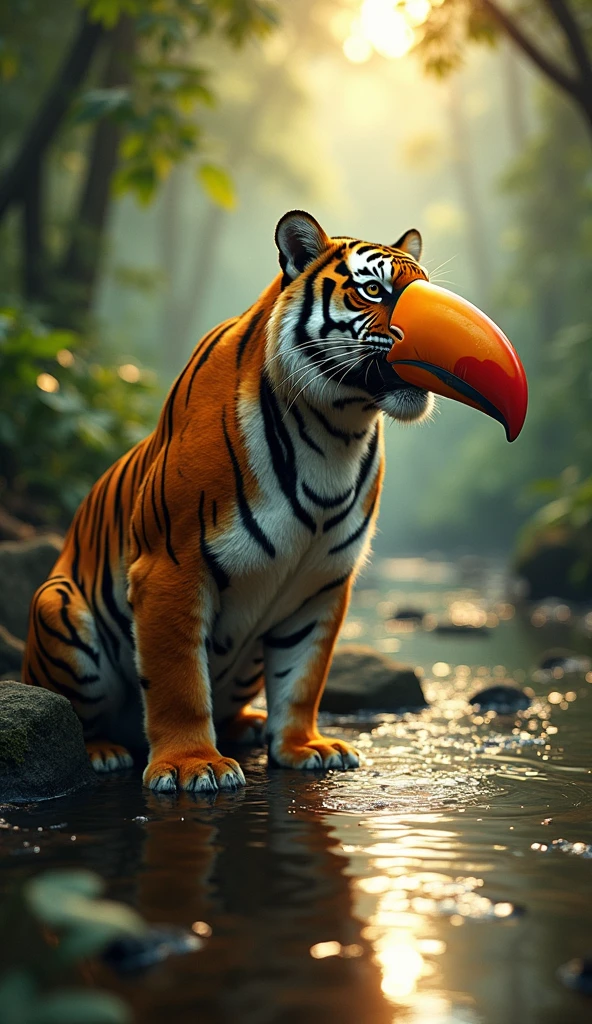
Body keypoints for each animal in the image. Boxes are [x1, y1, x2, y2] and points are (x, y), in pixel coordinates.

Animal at [23, 210, 521, 794]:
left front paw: (306, 748)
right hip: (57, 606)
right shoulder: (170, 567)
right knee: (82, 711)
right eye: (373, 290)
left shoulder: (322, 582)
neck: (336, 432)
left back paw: (249, 725)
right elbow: (177, 681)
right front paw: (193, 764)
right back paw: (103, 752)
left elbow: (304, 677)